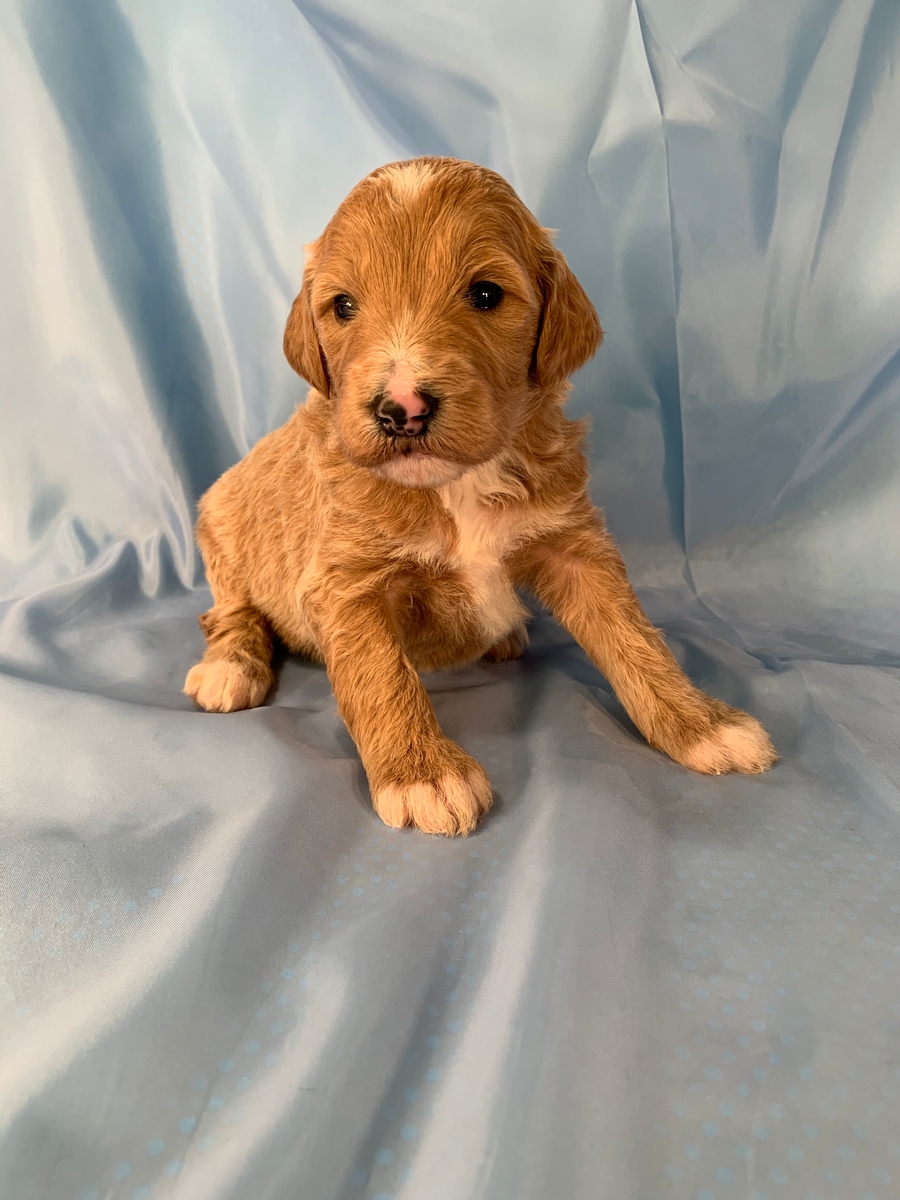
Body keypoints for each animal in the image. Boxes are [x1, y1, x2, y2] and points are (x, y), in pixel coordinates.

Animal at [183, 157, 777, 835]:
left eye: (486, 294)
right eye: (343, 306)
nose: (401, 409)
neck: (457, 484)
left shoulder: (573, 543)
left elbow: (634, 637)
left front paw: (702, 724)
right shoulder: (347, 582)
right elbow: (380, 673)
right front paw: (422, 773)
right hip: (221, 523)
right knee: (229, 613)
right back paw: (230, 667)